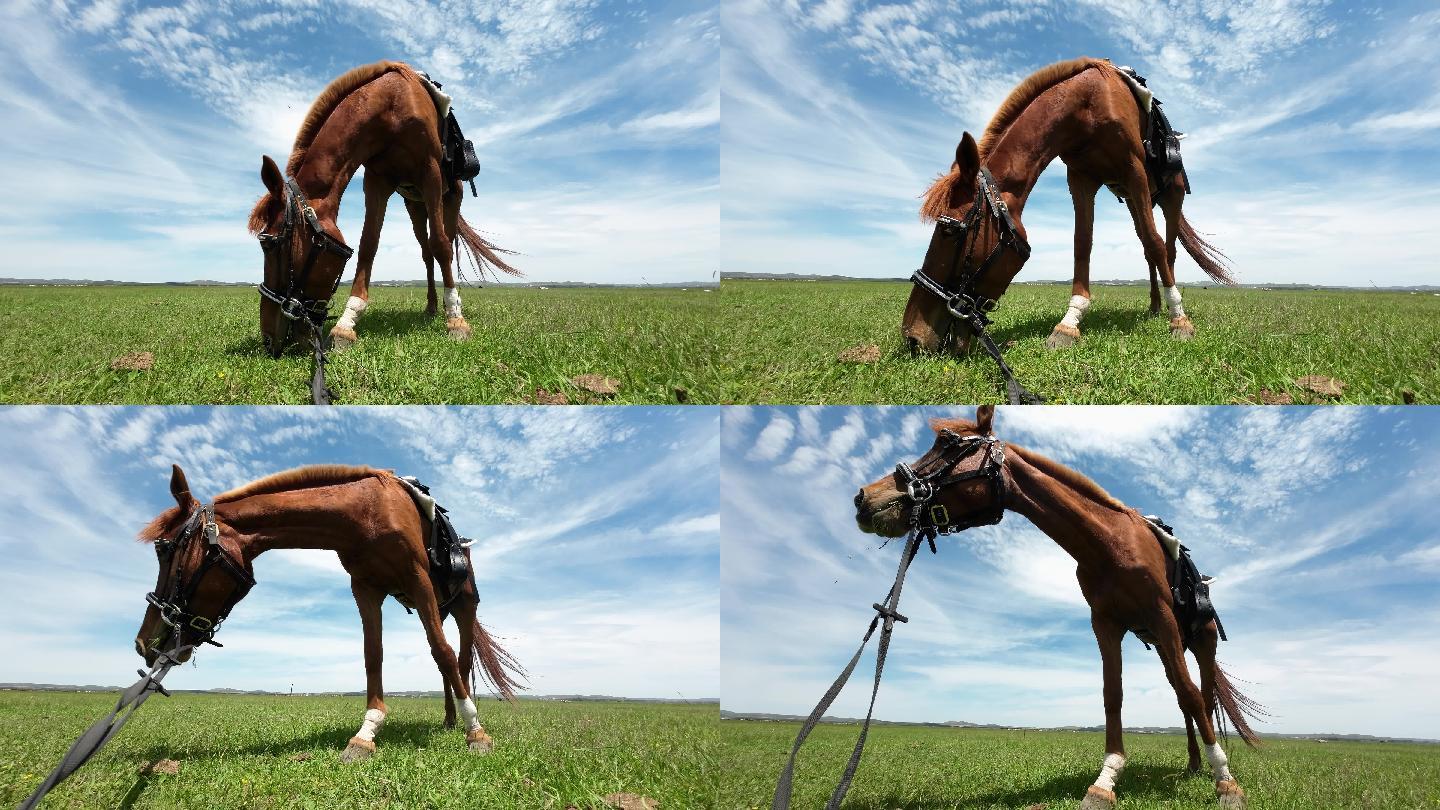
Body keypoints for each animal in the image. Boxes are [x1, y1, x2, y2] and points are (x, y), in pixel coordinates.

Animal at [132, 464, 527, 760]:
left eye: (167, 550)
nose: (144, 643)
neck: (365, 512)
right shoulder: (366, 590)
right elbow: (373, 655)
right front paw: (366, 733)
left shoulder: (418, 580)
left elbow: (442, 653)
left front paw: (477, 733)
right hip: (438, 609)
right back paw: (448, 720)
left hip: (461, 608)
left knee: (458, 658)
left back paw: (463, 720)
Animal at [250, 59, 521, 355]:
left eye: (270, 244)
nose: (267, 337)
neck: (390, 106)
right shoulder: (376, 181)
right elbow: (368, 244)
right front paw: (346, 324)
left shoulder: (430, 174)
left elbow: (441, 246)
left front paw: (456, 321)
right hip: (415, 206)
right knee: (426, 253)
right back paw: (431, 306)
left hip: (449, 197)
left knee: (444, 243)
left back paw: (448, 305)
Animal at [852, 406, 1261, 807]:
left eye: (948, 444)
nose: (863, 498)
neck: (1109, 544)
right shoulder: (1106, 625)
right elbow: (1113, 695)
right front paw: (1105, 781)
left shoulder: (1160, 615)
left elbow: (1191, 695)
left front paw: (1226, 782)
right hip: (1164, 644)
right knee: (1181, 697)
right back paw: (1192, 765)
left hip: (1200, 640)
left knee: (1200, 694)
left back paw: (1210, 766)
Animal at [904, 58, 1232, 354]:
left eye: (948, 230)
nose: (912, 336)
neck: (1088, 104)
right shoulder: (1081, 179)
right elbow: (1082, 243)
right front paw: (1069, 323)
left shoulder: (1134, 170)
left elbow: (1156, 244)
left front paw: (1180, 321)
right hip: (1134, 200)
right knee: (1147, 247)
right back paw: (1153, 305)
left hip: (1170, 197)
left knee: (1166, 247)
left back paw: (1169, 306)